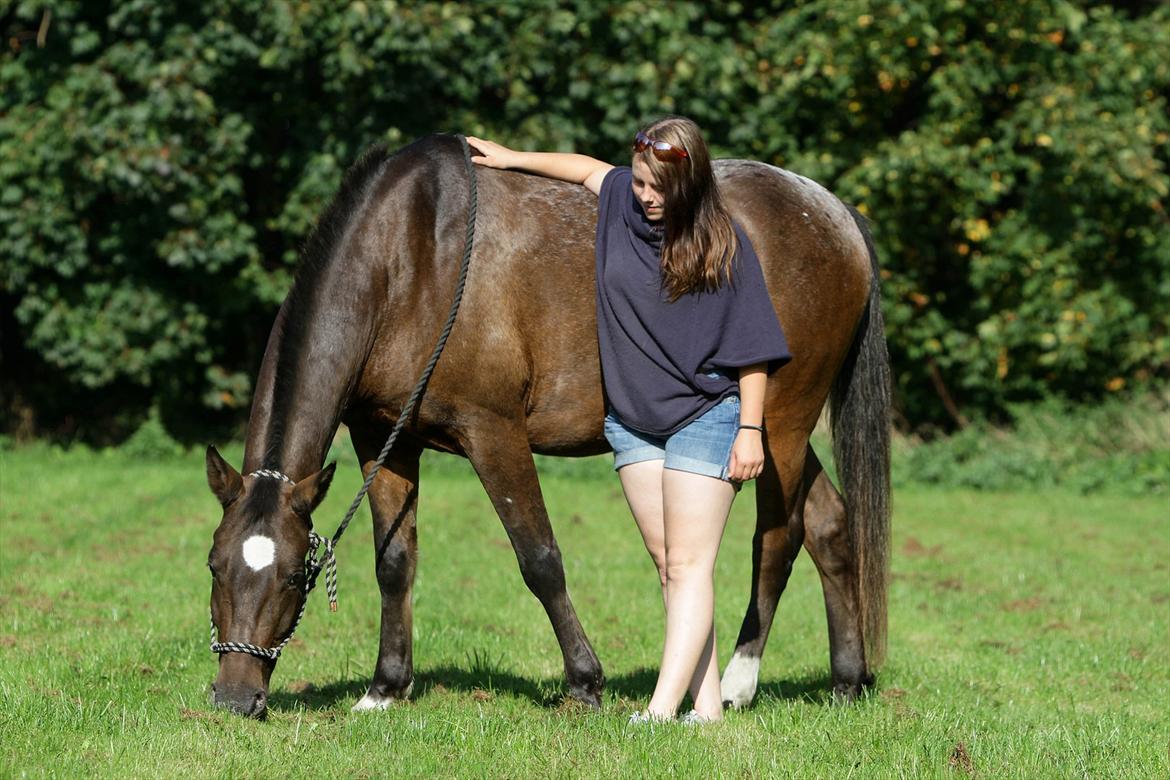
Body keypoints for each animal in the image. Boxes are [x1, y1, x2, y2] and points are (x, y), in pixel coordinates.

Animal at [205, 132, 889, 720]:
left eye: (292, 576)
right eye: (213, 566)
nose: (236, 698)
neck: (412, 258)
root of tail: (834, 213)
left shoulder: (493, 432)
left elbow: (539, 559)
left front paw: (585, 683)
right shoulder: (381, 439)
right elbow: (394, 561)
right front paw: (385, 688)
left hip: (779, 423)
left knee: (779, 536)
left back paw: (738, 684)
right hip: (770, 433)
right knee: (829, 524)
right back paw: (847, 682)